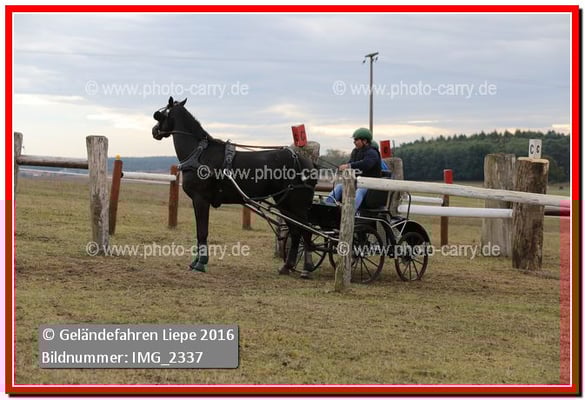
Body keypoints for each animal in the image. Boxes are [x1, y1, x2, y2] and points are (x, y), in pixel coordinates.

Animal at [152, 97, 318, 278]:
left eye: (161, 114)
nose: (154, 131)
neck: (199, 153)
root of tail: (308, 162)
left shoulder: (200, 199)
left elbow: (202, 231)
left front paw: (201, 263)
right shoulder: (198, 200)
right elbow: (199, 231)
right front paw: (195, 261)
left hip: (297, 205)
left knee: (306, 231)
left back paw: (306, 268)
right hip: (285, 203)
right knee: (296, 232)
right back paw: (287, 266)